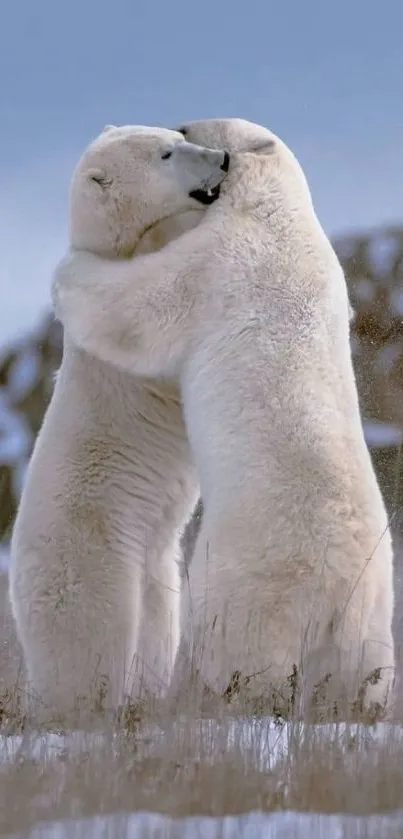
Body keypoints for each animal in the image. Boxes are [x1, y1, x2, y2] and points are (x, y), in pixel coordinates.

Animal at [8, 123, 230, 720]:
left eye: (173, 136)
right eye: (168, 154)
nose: (223, 157)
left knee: (158, 623)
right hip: (92, 552)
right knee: (100, 635)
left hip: (155, 565)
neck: (121, 244)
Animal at [52, 118, 396, 720]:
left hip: (245, 582)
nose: (185, 122)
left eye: (189, 132)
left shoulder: (219, 260)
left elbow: (141, 309)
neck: (281, 212)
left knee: (230, 652)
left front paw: (71, 274)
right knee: (359, 678)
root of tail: (341, 597)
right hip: (374, 622)